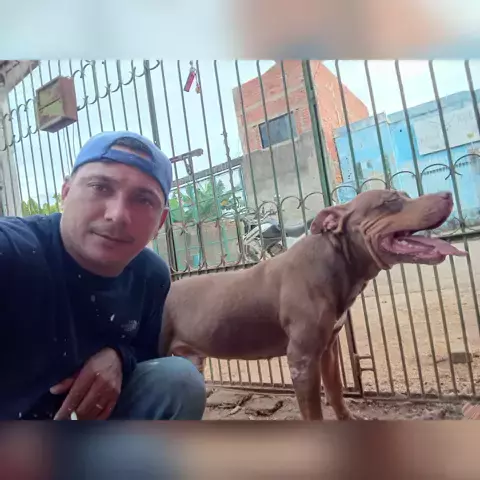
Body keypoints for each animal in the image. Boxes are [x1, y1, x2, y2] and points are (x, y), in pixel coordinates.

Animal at [161, 189, 467, 420]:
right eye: (390, 200)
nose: (447, 194)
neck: (336, 261)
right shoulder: (302, 359)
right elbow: (314, 413)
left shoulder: (329, 351)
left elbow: (337, 394)